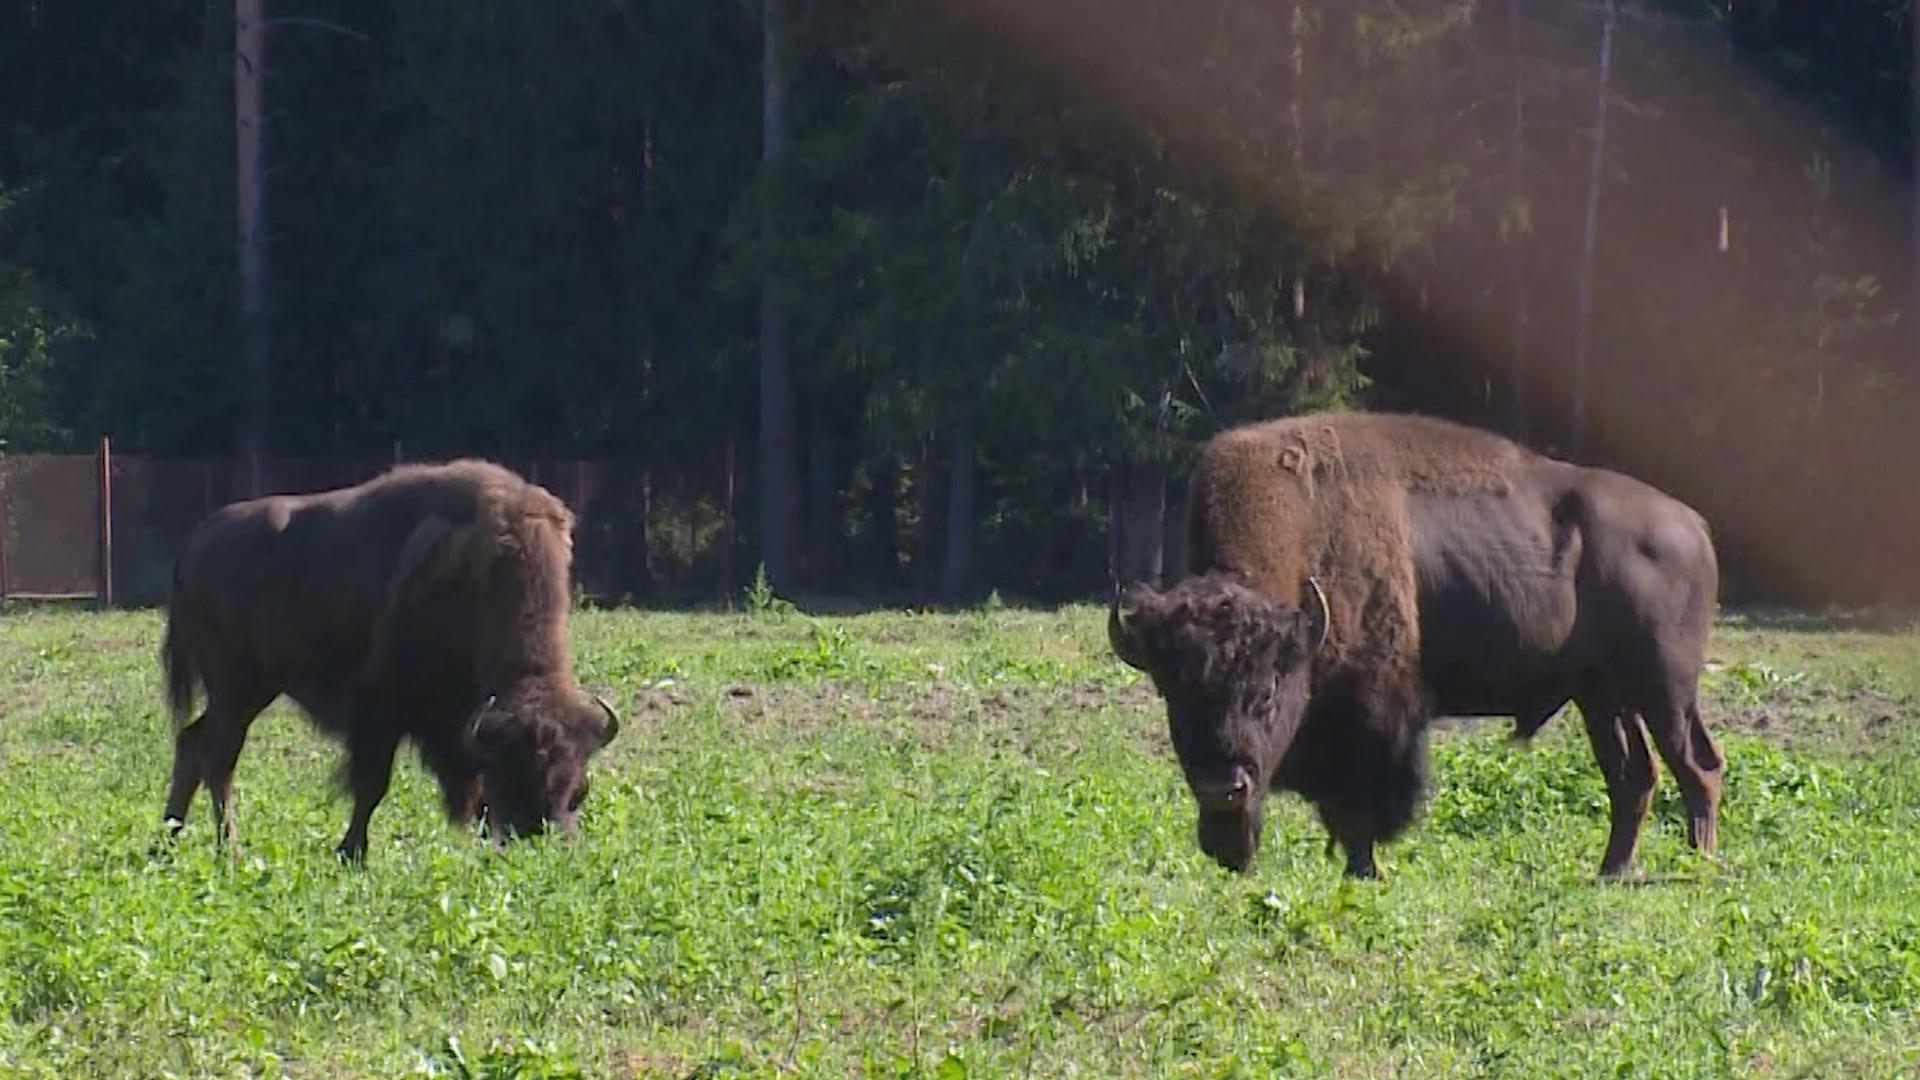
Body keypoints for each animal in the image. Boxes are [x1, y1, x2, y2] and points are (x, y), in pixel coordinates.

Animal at [162, 457, 622, 860]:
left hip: (255, 689)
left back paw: (165, 843)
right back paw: (230, 850)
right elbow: (372, 785)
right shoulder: (380, 711)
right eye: (512, 781)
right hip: (235, 688)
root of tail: (194, 546)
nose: (545, 842)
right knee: (219, 759)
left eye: (579, 790)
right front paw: (352, 853)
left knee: (191, 743)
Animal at [1113, 409, 1728, 876]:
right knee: (1634, 777)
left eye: (1265, 693)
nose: (1223, 788)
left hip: (1665, 691)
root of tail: (1694, 525)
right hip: (1601, 696)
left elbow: (1362, 804)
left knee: (1696, 766)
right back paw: (1611, 872)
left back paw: (1695, 866)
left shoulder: (1375, 714)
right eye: (1173, 697)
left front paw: (1365, 871)